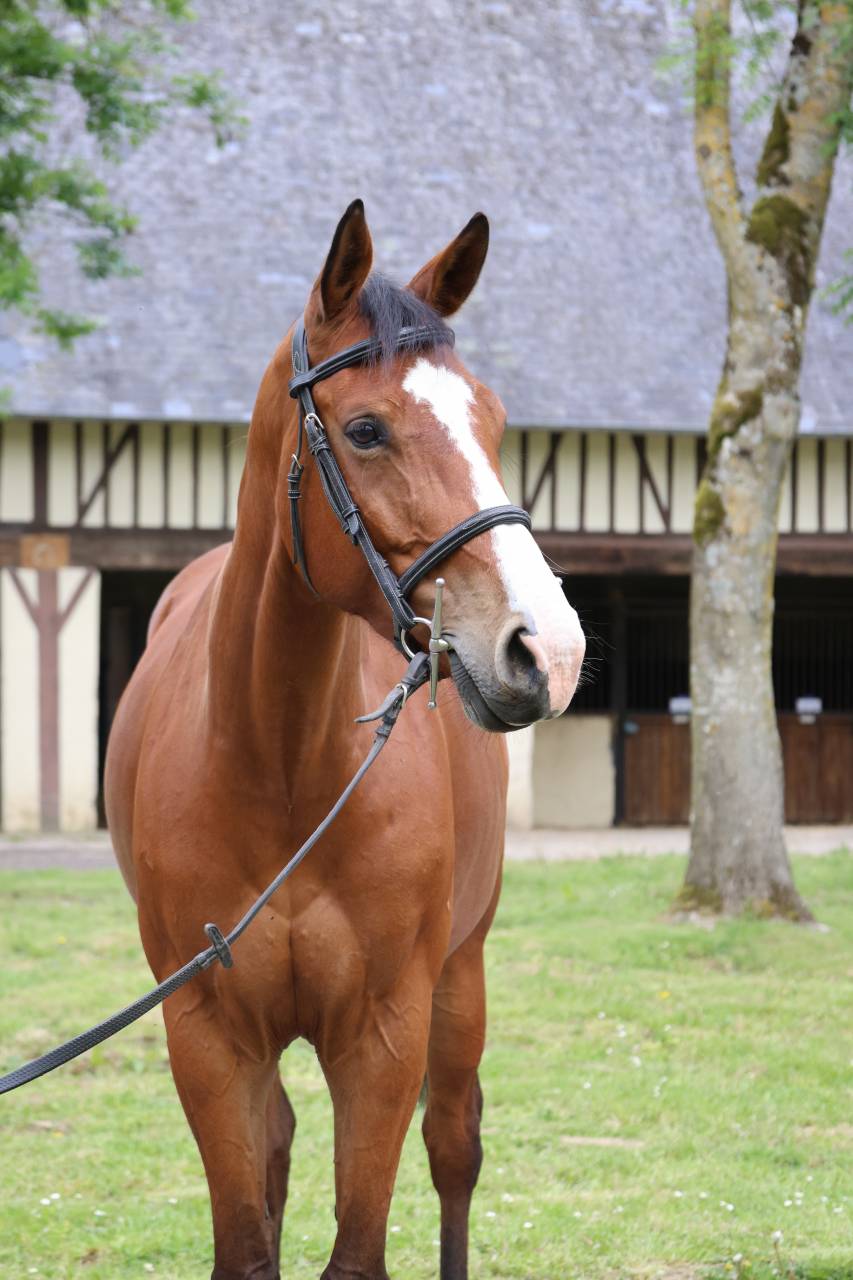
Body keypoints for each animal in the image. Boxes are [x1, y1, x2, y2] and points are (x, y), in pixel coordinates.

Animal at [105, 199, 585, 1280]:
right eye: (365, 429)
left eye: (493, 422)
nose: (548, 647)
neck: (280, 767)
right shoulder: (208, 1036)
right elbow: (247, 1240)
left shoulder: (384, 1034)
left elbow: (363, 1245)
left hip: (462, 978)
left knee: (454, 1148)